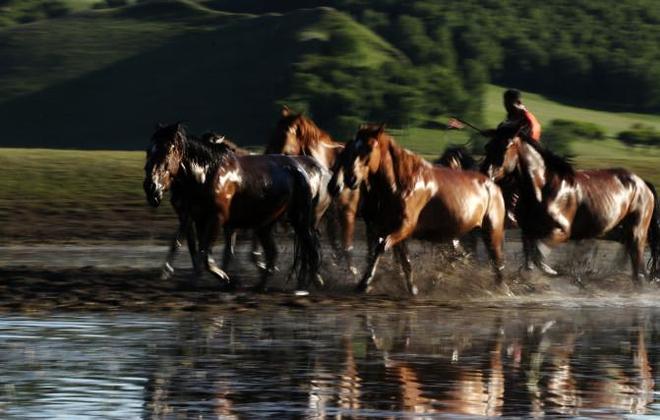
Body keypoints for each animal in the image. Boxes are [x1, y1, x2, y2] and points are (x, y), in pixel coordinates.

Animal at [143, 123, 326, 290]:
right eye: (149, 150)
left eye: (168, 150)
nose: (151, 187)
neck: (208, 174)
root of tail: (304, 170)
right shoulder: (198, 218)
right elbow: (201, 251)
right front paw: (221, 278)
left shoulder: (217, 219)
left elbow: (208, 254)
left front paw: (224, 277)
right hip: (266, 224)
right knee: (274, 253)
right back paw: (261, 286)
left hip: (299, 220)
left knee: (312, 249)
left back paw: (306, 285)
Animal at [330, 124, 506, 296]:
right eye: (353, 149)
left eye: (369, 147)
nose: (350, 179)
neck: (402, 186)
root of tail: (492, 184)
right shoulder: (392, 228)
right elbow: (402, 258)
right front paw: (411, 288)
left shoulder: (404, 227)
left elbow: (381, 248)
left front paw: (365, 283)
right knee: (464, 256)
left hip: (491, 231)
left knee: (495, 261)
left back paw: (499, 290)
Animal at [480, 124, 660, 282]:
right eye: (488, 146)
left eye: (505, 147)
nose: (485, 173)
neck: (544, 188)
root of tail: (643, 183)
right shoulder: (528, 231)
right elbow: (530, 257)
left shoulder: (562, 231)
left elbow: (539, 253)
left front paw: (552, 271)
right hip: (615, 230)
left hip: (637, 232)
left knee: (637, 263)